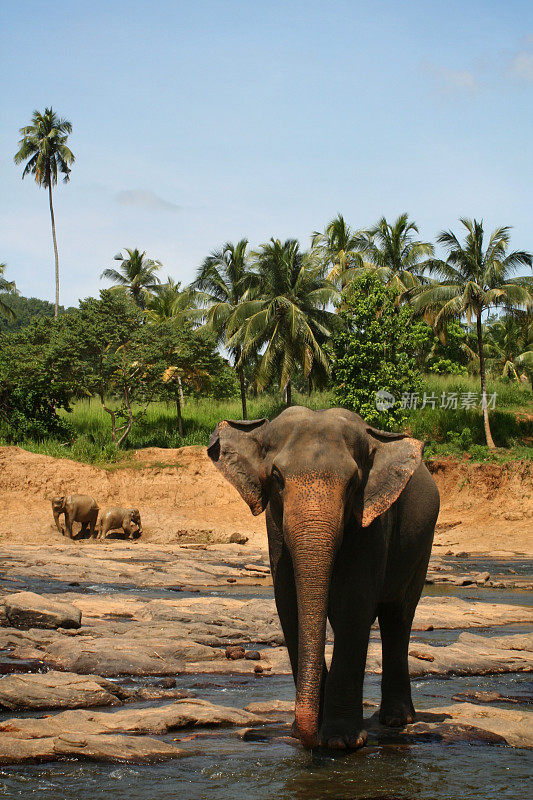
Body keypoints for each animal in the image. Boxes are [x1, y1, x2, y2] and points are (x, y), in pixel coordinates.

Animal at [207, 406, 436, 752]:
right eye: (277, 477)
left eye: (354, 482)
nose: (307, 736)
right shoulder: (276, 527)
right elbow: (289, 604)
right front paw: (307, 732)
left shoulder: (371, 521)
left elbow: (352, 605)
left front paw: (341, 741)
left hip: (422, 546)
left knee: (398, 616)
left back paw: (397, 720)